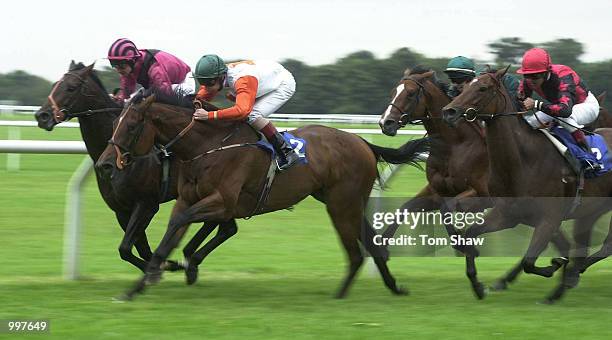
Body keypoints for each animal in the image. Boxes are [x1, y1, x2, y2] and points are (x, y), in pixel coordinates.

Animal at [34, 61, 234, 274]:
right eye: (55, 85)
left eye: (71, 88)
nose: (41, 116)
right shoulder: (120, 209)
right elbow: (135, 249)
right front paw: (165, 264)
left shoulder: (147, 203)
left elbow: (127, 248)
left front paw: (165, 265)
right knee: (226, 226)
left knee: (223, 224)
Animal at [107, 90, 428, 300]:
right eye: (114, 122)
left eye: (132, 126)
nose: (109, 162)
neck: (207, 146)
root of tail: (362, 142)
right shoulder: (188, 199)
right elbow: (173, 232)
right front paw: (138, 285)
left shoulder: (223, 202)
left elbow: (181, 224)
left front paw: (162, 270)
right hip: (342, 201)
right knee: (373, 244)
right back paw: (394, 287)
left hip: (341, 204)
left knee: (356, 251)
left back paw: (341, 294)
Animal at [376, 67, 572, 290]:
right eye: (393, 92)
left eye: (409, 93)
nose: (385, 123)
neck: (455, 146)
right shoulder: (436, 191)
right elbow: (405, 208)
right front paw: (382, 248)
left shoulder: (484, 196)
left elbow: (447, 210)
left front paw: (466, 247)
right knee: (556, 239)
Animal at [442, 66, 612, 302]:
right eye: (465, 86)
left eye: (482, 88)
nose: (449, 111)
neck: (522, 162)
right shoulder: (508, 214)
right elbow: (471, 233)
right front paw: (477, 285)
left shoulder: (549, 218)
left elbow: (530, 261)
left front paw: (554, 266)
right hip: (590, 211)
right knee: (583, 246)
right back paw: (561, 287)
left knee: (603, 247)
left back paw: (571, 276)